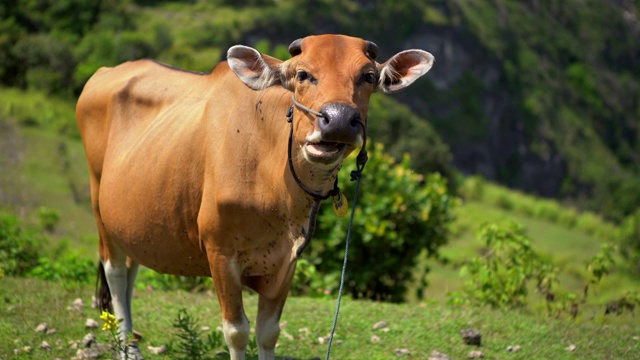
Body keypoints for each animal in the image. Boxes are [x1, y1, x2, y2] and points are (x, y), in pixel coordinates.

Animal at [76, 34, 436, 360]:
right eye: (303, 74)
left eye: (368, 77)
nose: (337, 121)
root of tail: (103, 73)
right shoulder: (219, 251)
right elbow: (237, 332)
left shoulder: (288, 257)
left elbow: (268, 332)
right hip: (98, 204)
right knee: (115, 272)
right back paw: (127, 347)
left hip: (132, 219)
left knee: (130, 270)